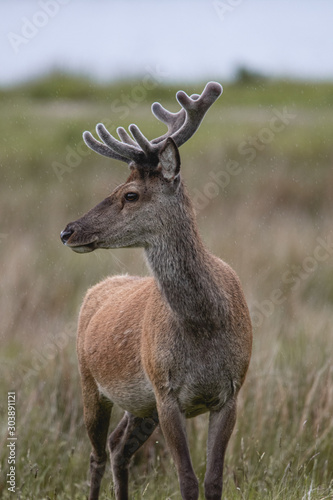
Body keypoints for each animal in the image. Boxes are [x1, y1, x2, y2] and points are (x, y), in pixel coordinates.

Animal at [60, 83, 252, 500]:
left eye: (130, 194)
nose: (67, 231)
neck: (205, 324)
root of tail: (97, 290)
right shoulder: (166, 392)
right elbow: (187, 480)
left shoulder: (230, 392)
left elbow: (213, 481)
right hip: (89, 382)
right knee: (97, 454)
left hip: (139, 404)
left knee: (118, 448)